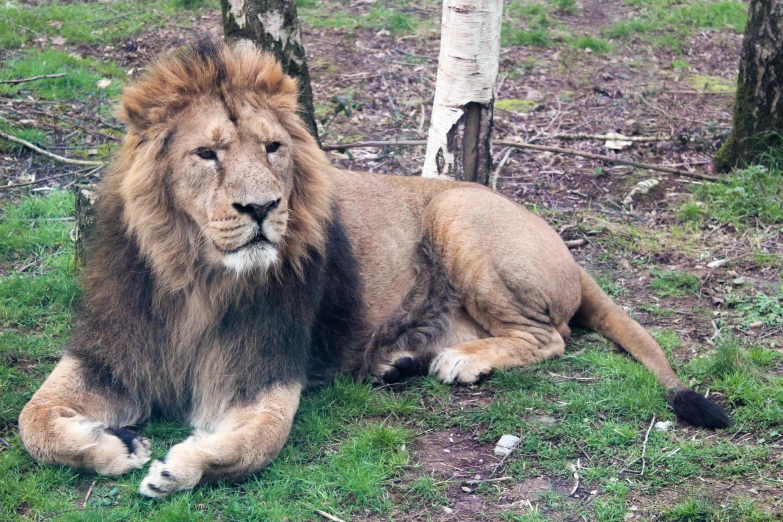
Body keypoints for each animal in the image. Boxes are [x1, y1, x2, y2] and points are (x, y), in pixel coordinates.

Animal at [16, 40, 728, 496]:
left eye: (272, 148)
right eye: (207, 155)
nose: (262, 208)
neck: (195, 279)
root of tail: (572, 259)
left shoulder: (267, 367)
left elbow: (255, 444)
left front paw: (176, 467)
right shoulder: (108, 352)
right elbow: (31, 420)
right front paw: (116, 446)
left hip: (460, 212)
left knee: (549, 335)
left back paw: (459, 361)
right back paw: (402, 360)